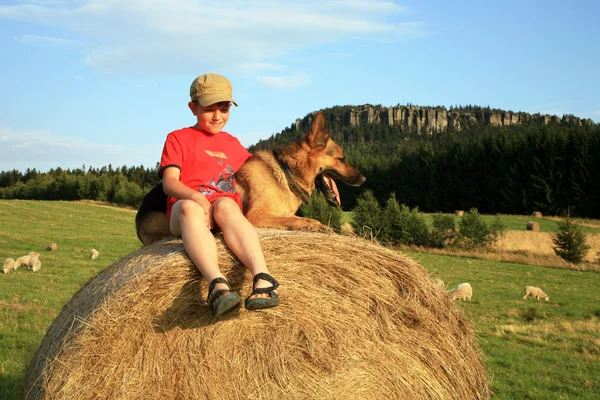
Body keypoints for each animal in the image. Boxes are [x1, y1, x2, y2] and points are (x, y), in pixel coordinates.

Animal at [135, 111, 366, 245]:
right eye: (342, 159)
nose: (363, 179)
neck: (287, 173)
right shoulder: (256, 216)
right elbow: (298, 219)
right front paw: (316, 226)